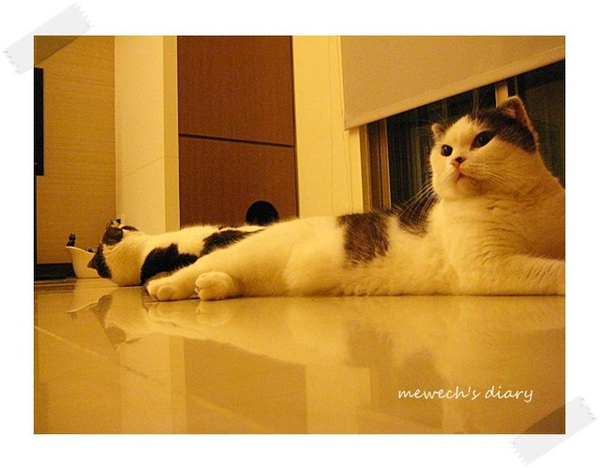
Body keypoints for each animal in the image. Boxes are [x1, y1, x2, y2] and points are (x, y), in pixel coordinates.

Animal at [140, 96, 565, 301]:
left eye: (482, 140)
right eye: (445, 150)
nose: (456, 160)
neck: (517, 202)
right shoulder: (488, 267)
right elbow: (556, 271)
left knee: (225, 279)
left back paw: (212, 287)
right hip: (242, 256)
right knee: (190, 270)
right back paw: (166, 287)